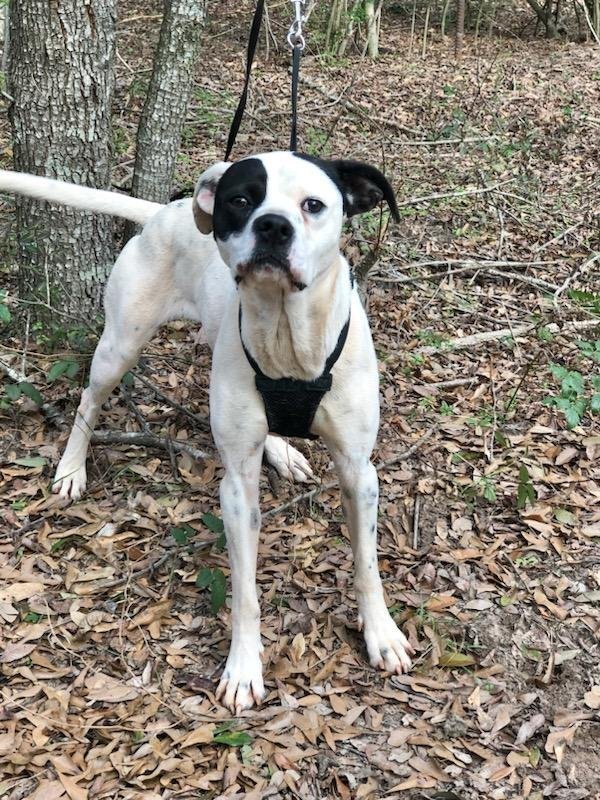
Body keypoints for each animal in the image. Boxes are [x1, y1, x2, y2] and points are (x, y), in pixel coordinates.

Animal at [0, 153, 412, 716]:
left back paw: (282, 451)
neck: (286, 339)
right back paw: (71, 469)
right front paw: (243, 669)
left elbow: (368, 565)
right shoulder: (237, 489)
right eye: (241, 199)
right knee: (89, 399)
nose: (273, 226)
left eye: (313, 205)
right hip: (120, 345)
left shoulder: (358, 471)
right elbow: (245, 592)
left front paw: (382, 635)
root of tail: (163, 211)